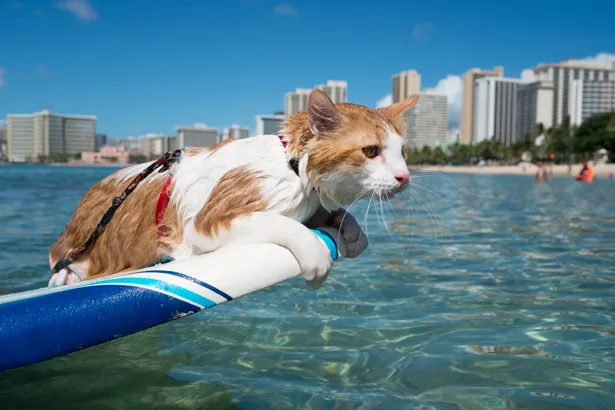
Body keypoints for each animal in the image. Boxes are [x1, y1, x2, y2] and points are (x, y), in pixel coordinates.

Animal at [48, 89, 418, 288]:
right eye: (370, 151)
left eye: (403, 153)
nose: (405, 177)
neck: (291, 168)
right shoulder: (207, 222)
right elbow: (285, 224)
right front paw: (315, 258)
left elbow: (335, 217)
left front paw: (351, 230)